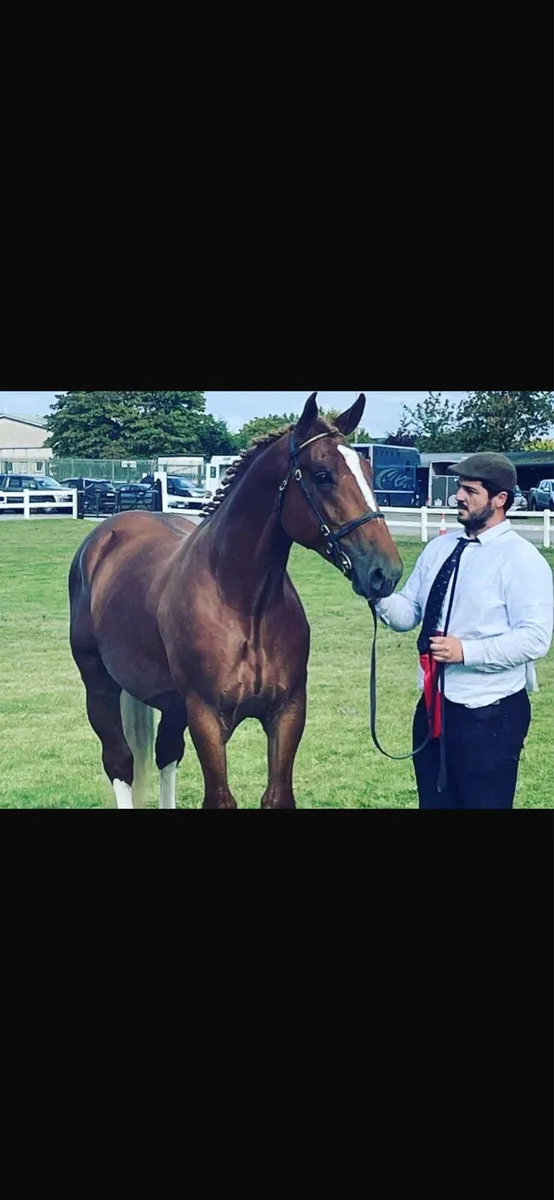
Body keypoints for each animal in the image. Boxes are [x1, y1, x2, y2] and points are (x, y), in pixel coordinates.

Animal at [69, 392, 403, 809]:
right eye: (322, 474)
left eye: (369, 472)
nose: (385, 572)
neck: (245, 605)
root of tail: (105, 536)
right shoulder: (206, 717)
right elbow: (219, 797)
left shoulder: (287, 713)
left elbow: (277, 795)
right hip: (99, 687)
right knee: (120, 763)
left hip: (170, 703)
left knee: (166, 755)